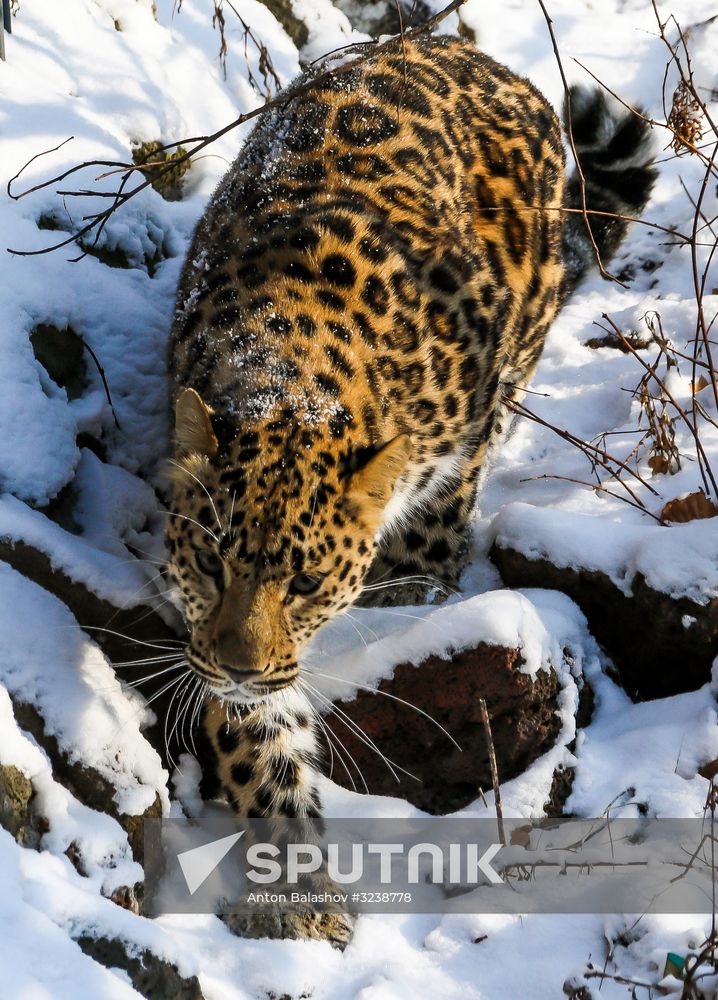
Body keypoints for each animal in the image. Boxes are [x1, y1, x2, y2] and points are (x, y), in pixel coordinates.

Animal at [163, 32, 655, 938]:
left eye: (306, 583)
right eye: (211, 564)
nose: (240, 670)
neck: (288, 374)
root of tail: (470, 53)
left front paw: (410, 599)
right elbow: (263, 745)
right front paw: (302, 895)